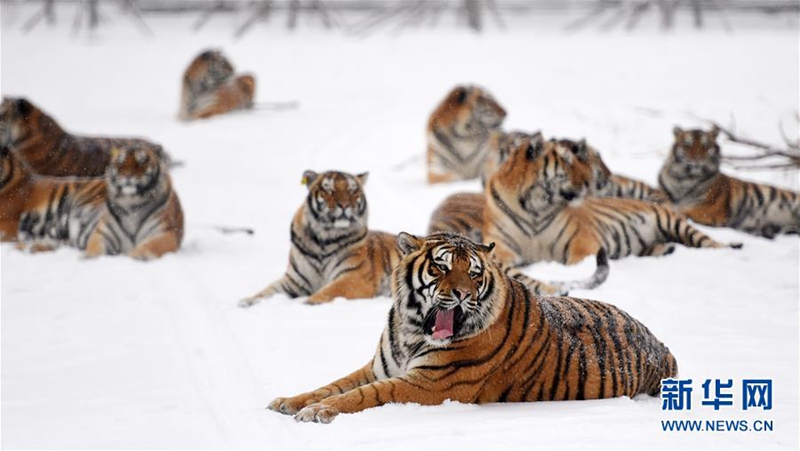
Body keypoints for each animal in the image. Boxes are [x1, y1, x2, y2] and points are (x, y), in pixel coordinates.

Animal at [12, 146, 183, 260]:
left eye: (141, 162)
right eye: (121, 163)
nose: (128, 175)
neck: (131, 203)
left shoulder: (165, 233)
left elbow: (151, 246)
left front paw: (137, 255)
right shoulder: (103, 233)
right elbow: (94, 249)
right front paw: (87, 258)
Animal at [267, 232, 678, 424]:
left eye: (474, 273)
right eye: (442, 267)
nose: (463, 294)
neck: (411, 330)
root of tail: (662, 346)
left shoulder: (428, 384)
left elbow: (364, 395)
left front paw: (318, 412)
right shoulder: (380, 367)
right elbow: (335, 384)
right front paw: (289, 401)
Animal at [482, 136, 742, 267]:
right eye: (567, 161)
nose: (590, 180)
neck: (533, 207)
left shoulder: (582, 243)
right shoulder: (502, 244)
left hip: (674, 223)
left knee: (709, 243)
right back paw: (665, 249)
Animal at [659, 126, 800, 238]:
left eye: (705, 146)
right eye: (687, 145)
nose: (696, 159)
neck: (684, 179)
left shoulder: (709, 209)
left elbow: (683, 212)